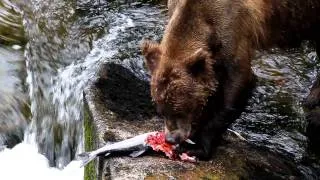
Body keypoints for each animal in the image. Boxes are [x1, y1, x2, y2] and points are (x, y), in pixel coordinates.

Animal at [141, 0, 320, 158]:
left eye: (181, 109)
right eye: (161, 110)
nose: (171, 138)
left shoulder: (234, 30)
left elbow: (237, 86)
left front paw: (197, 146)